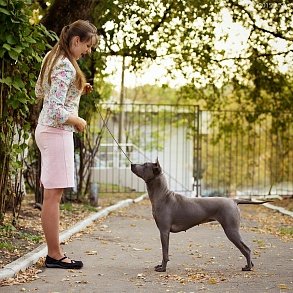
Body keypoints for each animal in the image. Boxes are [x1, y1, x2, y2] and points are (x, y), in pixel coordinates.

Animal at [130, 159, 270, 270]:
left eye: (144, 165)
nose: (131, 164)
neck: (163, 196)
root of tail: (233, 200)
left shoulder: (164, 231)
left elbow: (165, 253)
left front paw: (163, 268)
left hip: (231, 230)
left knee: (246, 249)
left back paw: (248, 268)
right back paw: (249, 265)